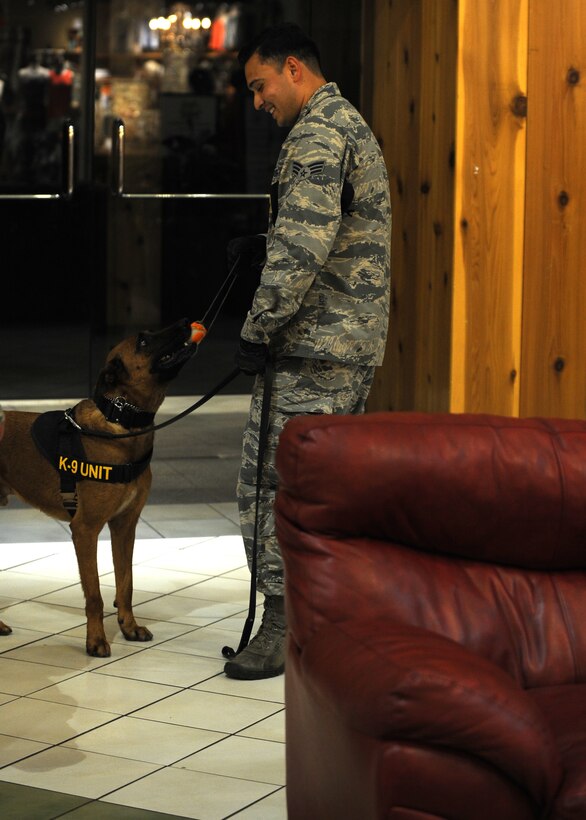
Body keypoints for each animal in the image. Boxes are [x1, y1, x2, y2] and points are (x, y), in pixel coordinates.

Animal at [0, 318, 196, 656]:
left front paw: (128, 626)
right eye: (143, 341)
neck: (122, 422)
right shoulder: (85, 529)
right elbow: (94, 595)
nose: (186, 321)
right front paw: (96, 640)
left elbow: (125, 583)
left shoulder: (125, 526)